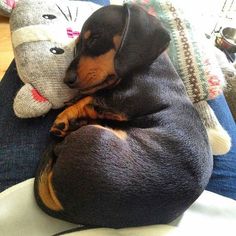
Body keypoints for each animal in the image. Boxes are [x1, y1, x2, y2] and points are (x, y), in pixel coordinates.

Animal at [34, 3, 213, 229]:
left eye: (95, 38)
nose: (67, 80)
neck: (149, 64)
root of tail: (67, 206)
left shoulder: (127, 99)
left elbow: (94, 97)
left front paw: (66, 115)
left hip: (96, 135)